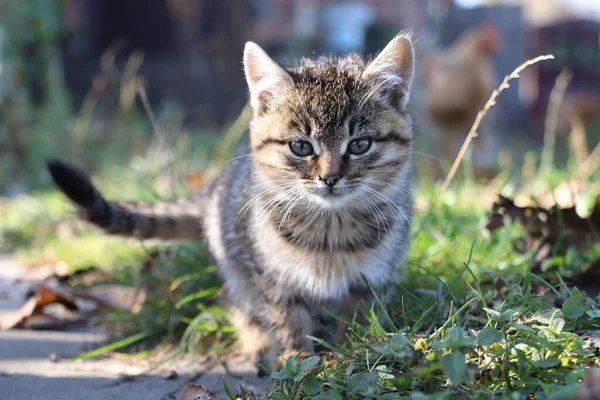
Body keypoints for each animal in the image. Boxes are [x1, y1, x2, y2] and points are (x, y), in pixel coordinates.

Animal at [47, 32, 414, 370]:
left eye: (359, 145)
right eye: (301, 147)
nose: (330, 178)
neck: (330, 230)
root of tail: (214, 189)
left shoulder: (374, 278)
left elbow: (359, 318)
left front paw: (356, 348)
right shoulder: (269, 275)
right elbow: (287, 319)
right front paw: (297, 359)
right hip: (235, 261)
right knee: (233, 301)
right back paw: (257, 344)